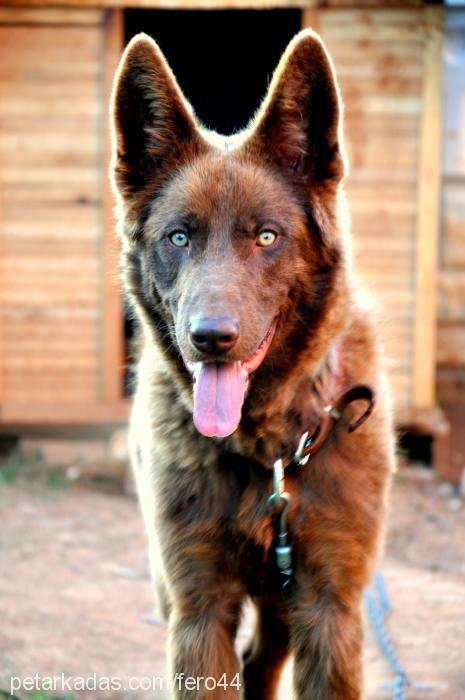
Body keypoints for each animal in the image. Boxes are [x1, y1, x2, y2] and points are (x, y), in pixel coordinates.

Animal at [110, 28, 394, 700]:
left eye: (266, 237)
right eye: (178, 237)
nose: (210, 338)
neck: (268, 452)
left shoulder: (330, 608)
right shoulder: (197, 609)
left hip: (286, 608)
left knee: (261, 661)